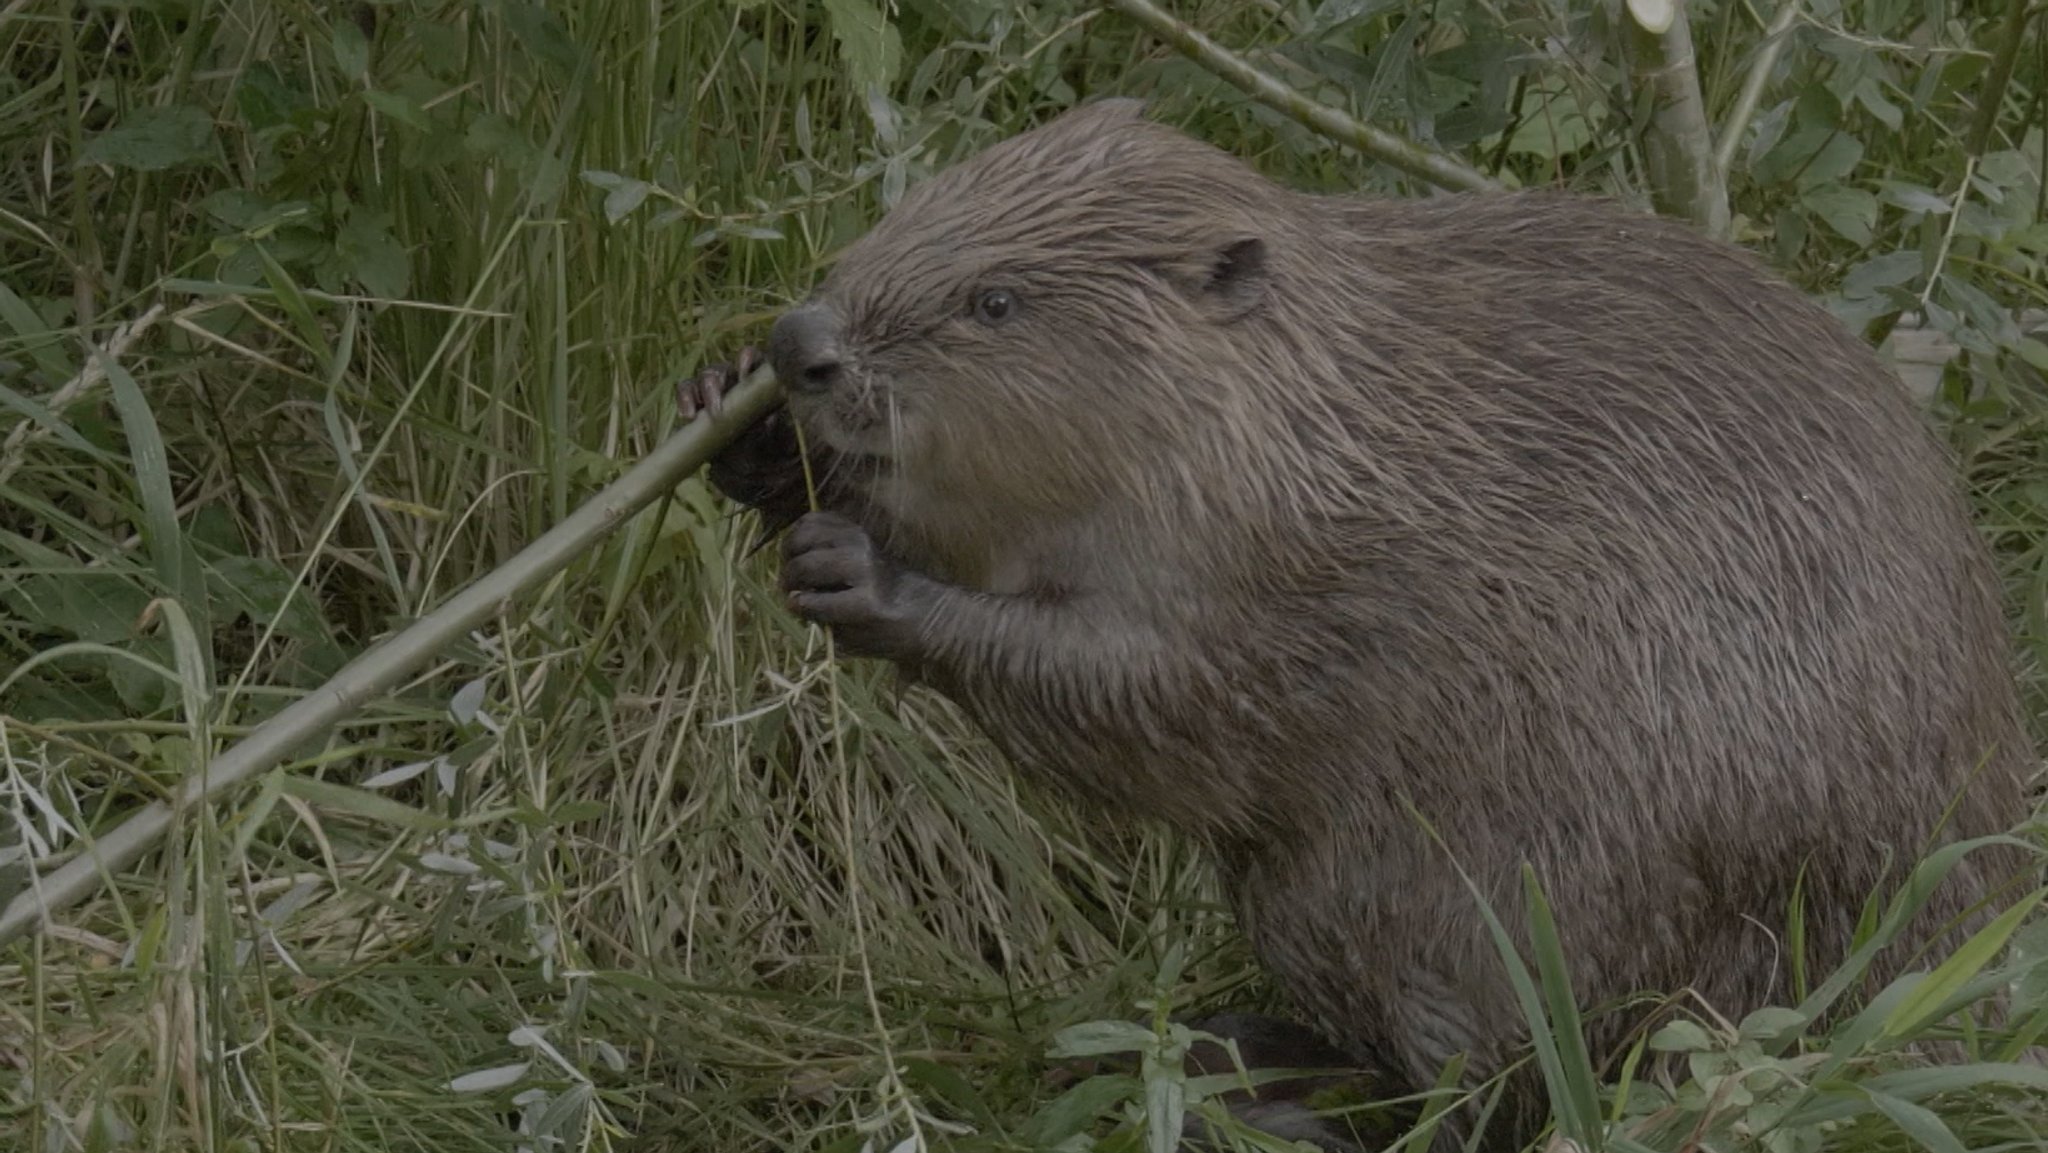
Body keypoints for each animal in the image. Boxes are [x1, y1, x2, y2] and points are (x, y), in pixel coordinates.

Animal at [679, 101, 2039, 1153]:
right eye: (920, 207)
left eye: (996, 300)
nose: (802, 341)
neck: (1314, 420)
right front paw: (735, 423)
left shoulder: (1281, 579)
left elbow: (1153, 703)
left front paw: (858, 574)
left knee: (1502, 1082)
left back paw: (1257, 1089)